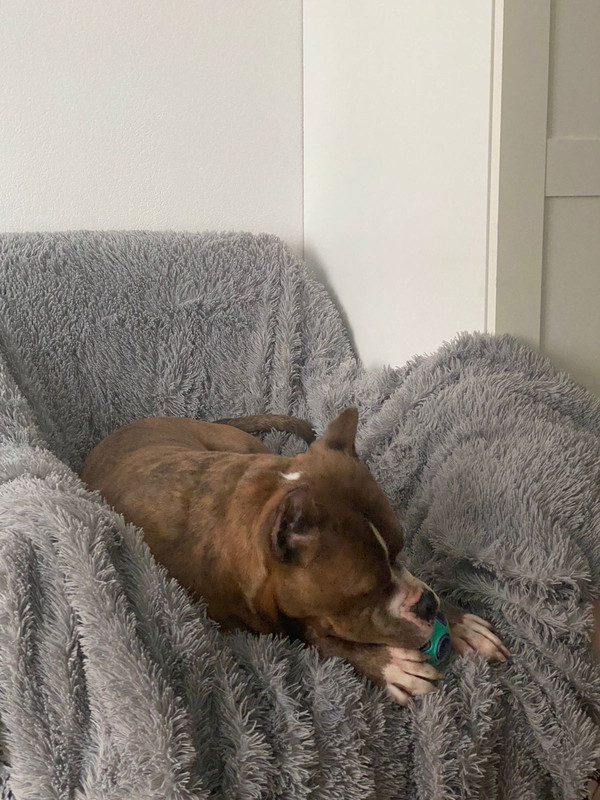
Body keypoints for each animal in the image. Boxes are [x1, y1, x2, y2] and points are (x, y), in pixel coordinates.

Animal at [81, 408, 508, 705]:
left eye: (401, 547)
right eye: (367, 593)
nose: (427, 606)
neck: (261, 498)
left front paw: (459, 622)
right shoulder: (273, 626)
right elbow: (325, 641)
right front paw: (390, 666)